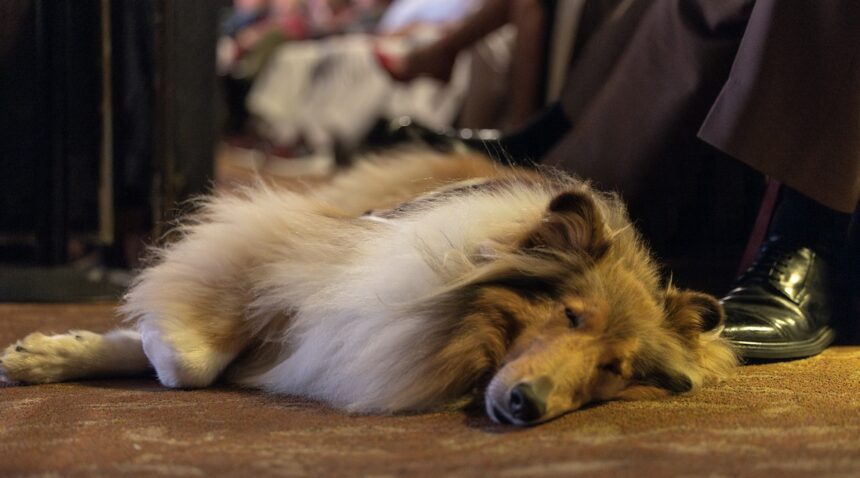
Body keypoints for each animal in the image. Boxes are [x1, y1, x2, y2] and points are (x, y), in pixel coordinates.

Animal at [3, 151, 736, 424]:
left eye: (616, 370)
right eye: (571, 315)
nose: (526, 406)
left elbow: (191, 360)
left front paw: (50, 351)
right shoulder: (283, 250)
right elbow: (186, 360)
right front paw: (81, 345)